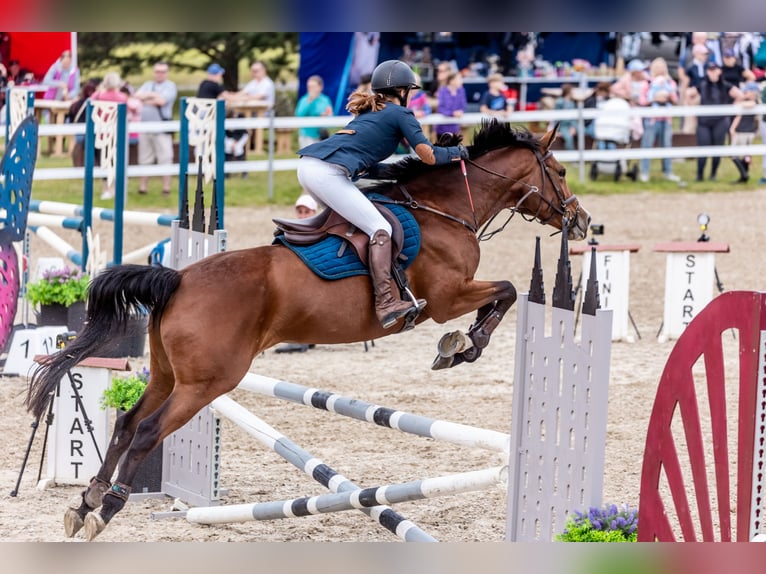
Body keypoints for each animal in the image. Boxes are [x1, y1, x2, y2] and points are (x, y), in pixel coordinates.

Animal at [22, 119, 588, 544]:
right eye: (559, 170)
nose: (582, 223)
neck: (444, 212)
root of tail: (178, 278)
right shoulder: (448, 297)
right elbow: (507, 291)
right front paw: (463, 346)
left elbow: (504, 293)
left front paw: (460, 346)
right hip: (207, 382)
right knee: (145, 431)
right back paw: (106, 509)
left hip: (167, 374)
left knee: (124, 424)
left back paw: (85, 502)